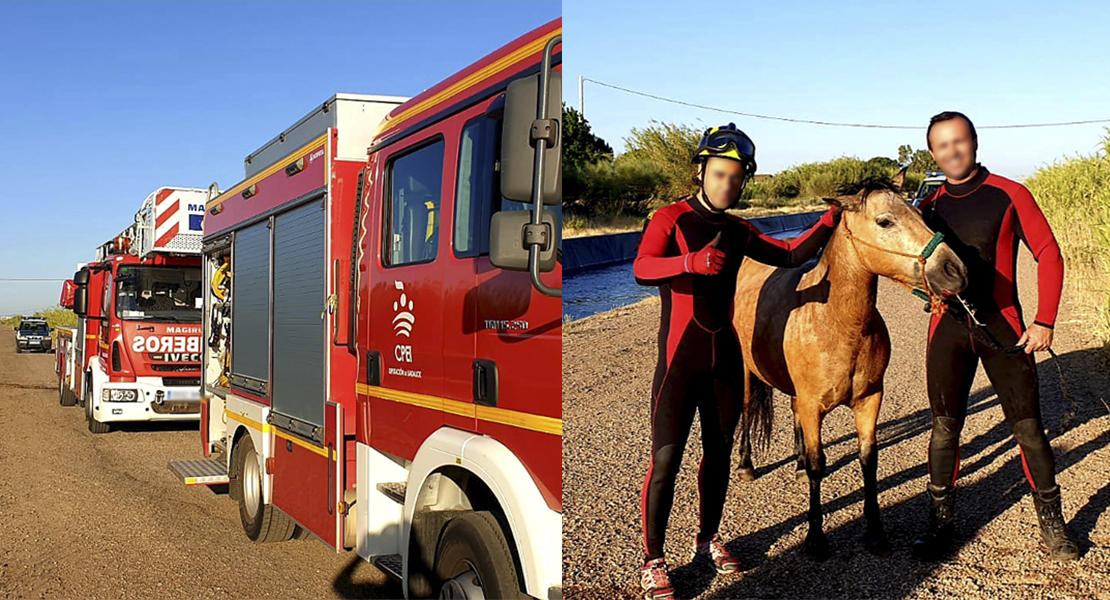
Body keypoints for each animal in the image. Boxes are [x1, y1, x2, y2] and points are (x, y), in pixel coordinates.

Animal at [732, 170, 967, 558]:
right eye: (885, 221)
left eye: (920, 214)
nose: (955, 270)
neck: (837, 322)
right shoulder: (813, 405)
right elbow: (818, 467)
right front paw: (815, 538)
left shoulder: (869, 400)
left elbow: (867, 459)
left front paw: (874, 531)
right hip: (748, 374)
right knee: (748, 411)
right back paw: (746, 465)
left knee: (793, 413)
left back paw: (795, 461)